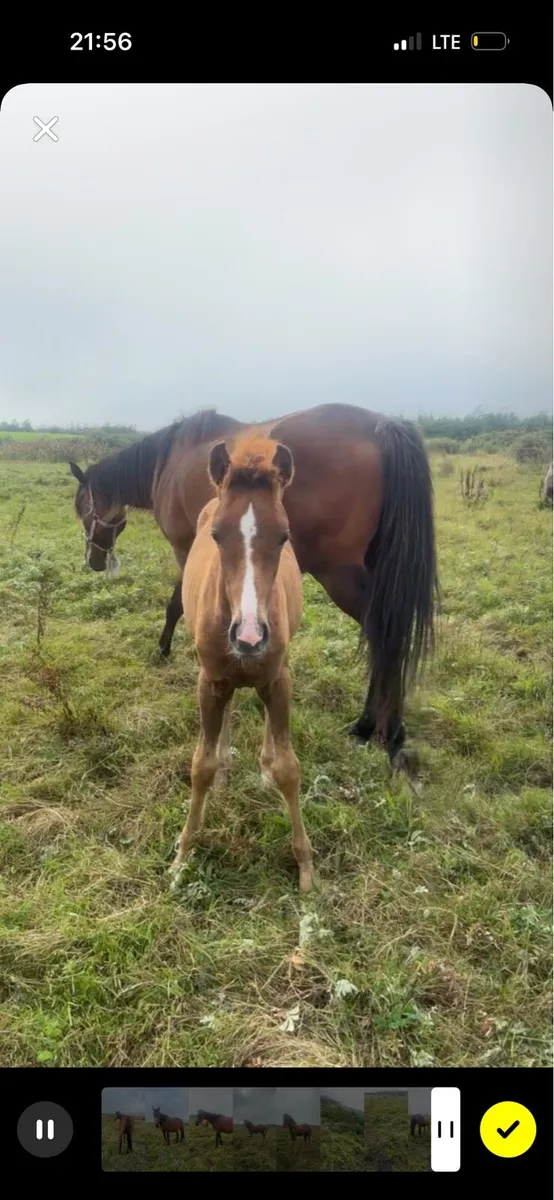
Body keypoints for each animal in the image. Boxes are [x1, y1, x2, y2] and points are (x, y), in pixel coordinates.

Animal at [69, 403, 438, 774]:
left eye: (81, 508)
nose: (92, 560)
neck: (169, 459)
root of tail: (383, 426)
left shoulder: (184, 548)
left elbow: (176, 604)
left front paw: (164, 649)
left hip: (338, 574)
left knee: (384, 633)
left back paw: (378, 729)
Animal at [170, 435, 313, 891]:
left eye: (284, 537)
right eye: (216, 536)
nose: (250, 637)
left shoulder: (277, 679)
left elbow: (289, 768)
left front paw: (306, 867)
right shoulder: (210, 681)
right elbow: (200, 765)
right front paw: (182, 856)